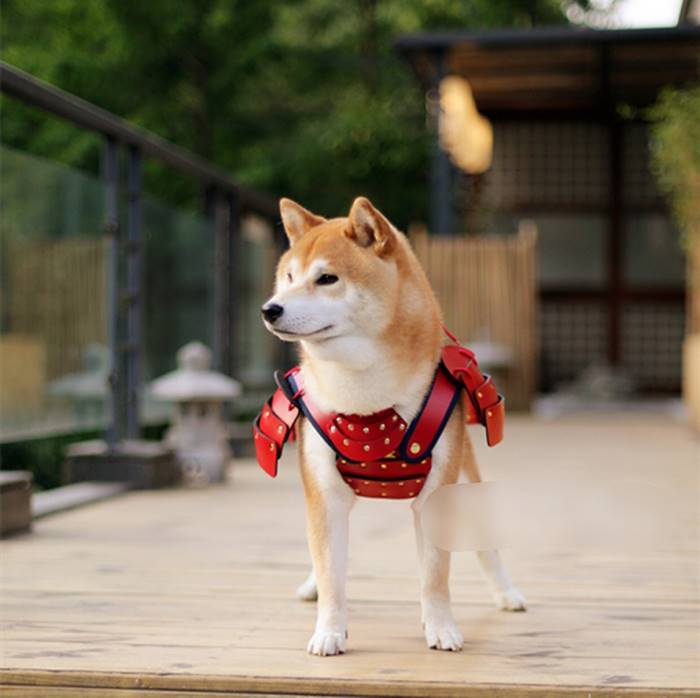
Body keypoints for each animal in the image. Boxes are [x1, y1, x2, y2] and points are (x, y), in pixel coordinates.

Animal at [262, 194, 524, 652]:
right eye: (289, 277)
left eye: (326, 279)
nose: (270, 309)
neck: (364, 394)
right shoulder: (325, 494)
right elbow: (332, 574)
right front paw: (329, 631)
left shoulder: (437, 494)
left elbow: (435, 576)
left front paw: (441, 627)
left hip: (465, 480)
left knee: (486, 546)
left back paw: (506, 593)